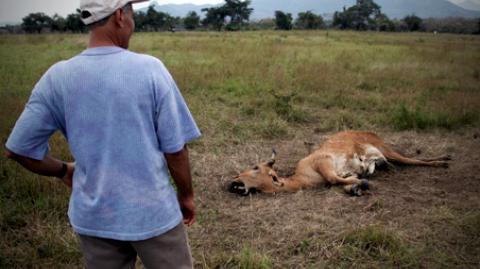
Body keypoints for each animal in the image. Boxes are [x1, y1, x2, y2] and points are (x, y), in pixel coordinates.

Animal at [229, 130, 450, 195]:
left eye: (255, 168)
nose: (232, 182)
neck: (302, 176)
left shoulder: (323, 163)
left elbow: (334, 179)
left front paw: (362, 183)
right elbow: (343, 180)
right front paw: (356, 186)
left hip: (387, 151)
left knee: (412, 159)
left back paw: (443, 162)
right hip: (388, 156)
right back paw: (445, 159)